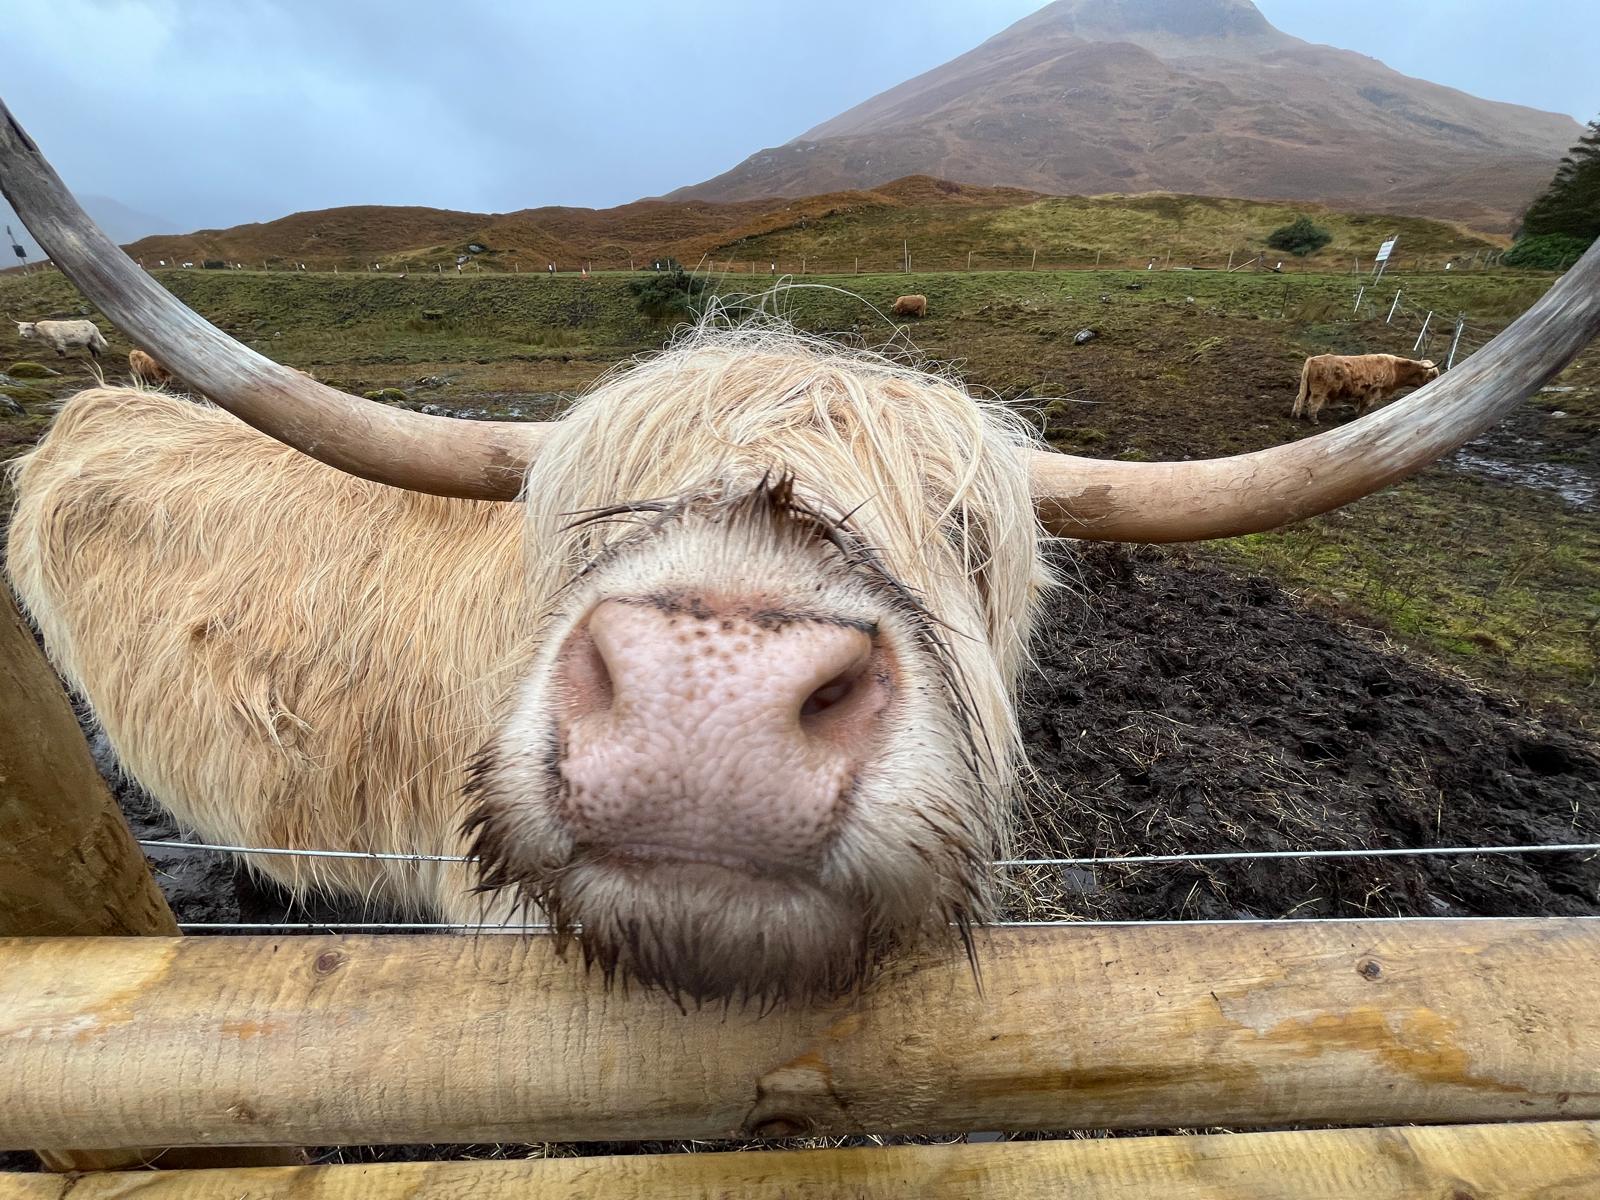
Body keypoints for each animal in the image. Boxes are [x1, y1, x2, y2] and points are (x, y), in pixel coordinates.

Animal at [1292, 353, 1441, 423]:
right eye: (1432, 375)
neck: (1395, 369)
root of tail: (1312, 359)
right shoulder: (1372, 392)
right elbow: (1363, 407)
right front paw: (1359, 418)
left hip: (1307, 388)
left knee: (1299, 398)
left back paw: (1295, 415)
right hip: (1319, 391)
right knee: (1313, 403)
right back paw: (1314, 420)